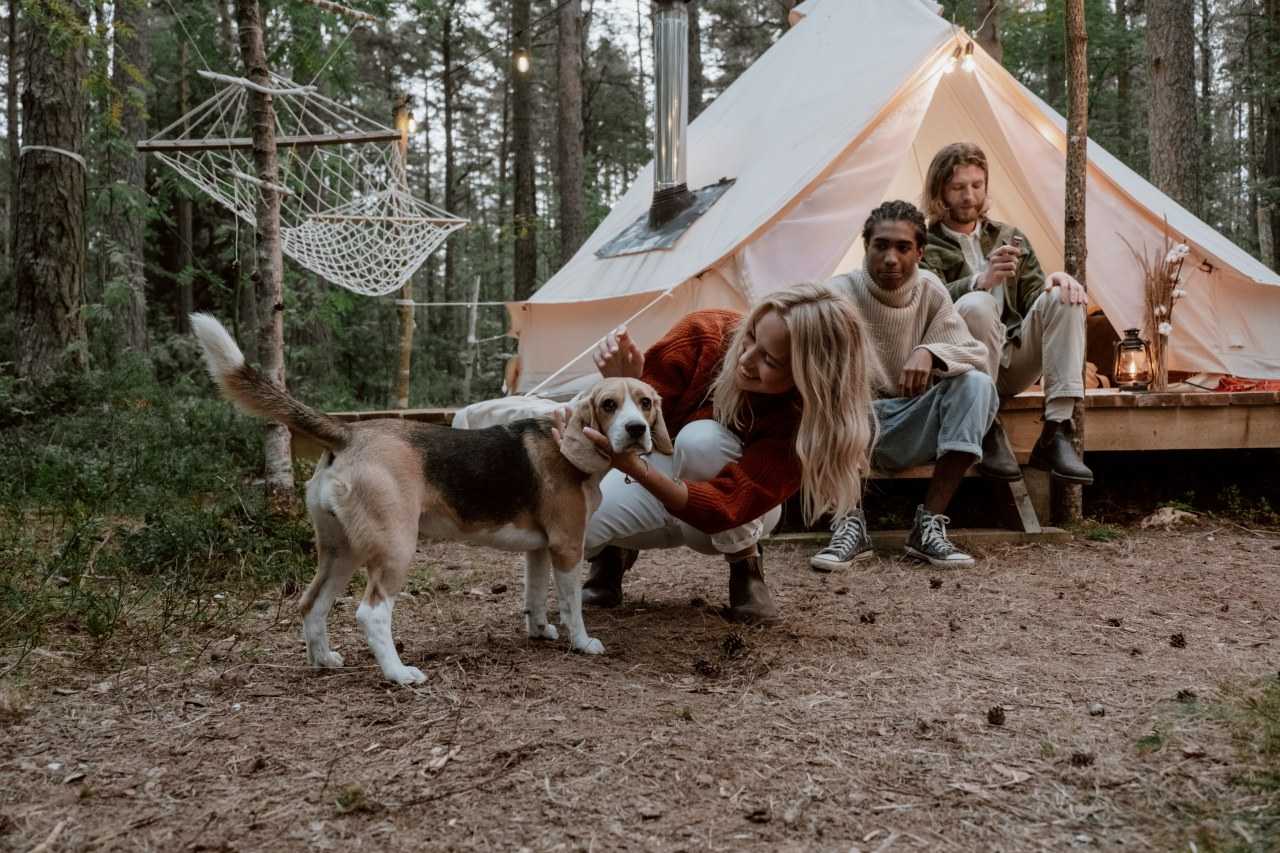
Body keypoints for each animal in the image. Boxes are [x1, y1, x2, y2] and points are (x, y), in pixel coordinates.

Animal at [192, 313, 670, 686]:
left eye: (645, 403)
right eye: (608, 405)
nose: (635, 430)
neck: (564, 439)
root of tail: (349, 433)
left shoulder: (539, 549)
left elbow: (534, 596)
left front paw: (539, 631)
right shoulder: (568, 547)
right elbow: (571, 605)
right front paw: (582, 642)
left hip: (340, 550)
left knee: (312, 603)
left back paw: (322, 660)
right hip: (395, 547)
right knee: (371, 613)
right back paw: (399, 674)